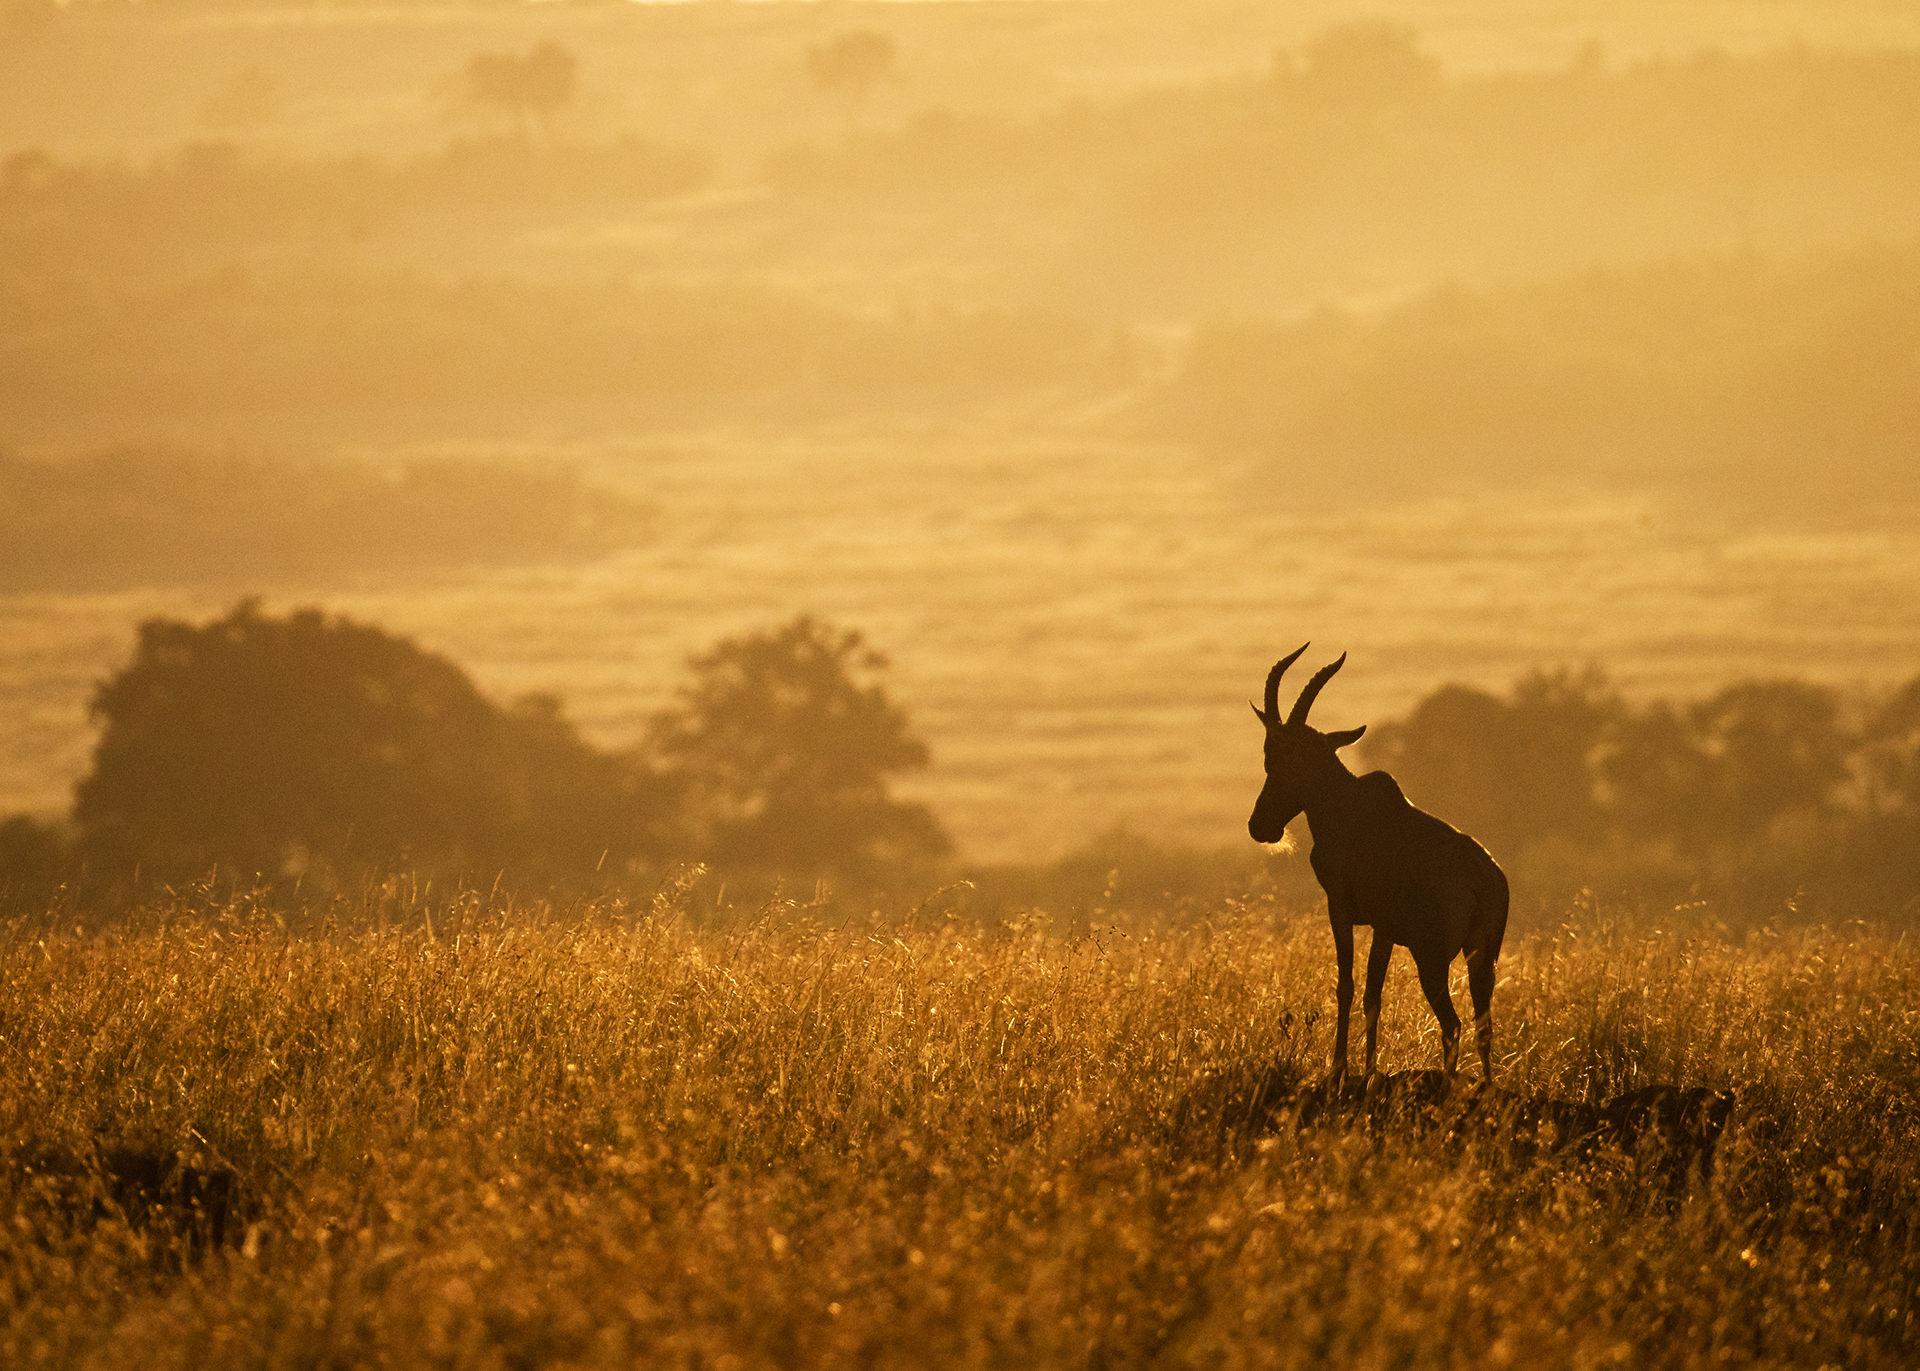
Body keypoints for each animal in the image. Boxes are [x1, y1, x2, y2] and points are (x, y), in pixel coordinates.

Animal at [1244, 641, 1512, 1075]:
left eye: (1283, 755)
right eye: (1269, 752)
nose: (1260, 826)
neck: (1350, 805)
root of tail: (1483, 879)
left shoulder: (1339, 908)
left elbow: (1347, 985)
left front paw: (1339, 1068)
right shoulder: (1384, 927)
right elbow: (1374, 994)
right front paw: (1369, 1072)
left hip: (1430, 958)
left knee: (1453, 1025)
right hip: (1482, 959)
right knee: (1483, 1025)